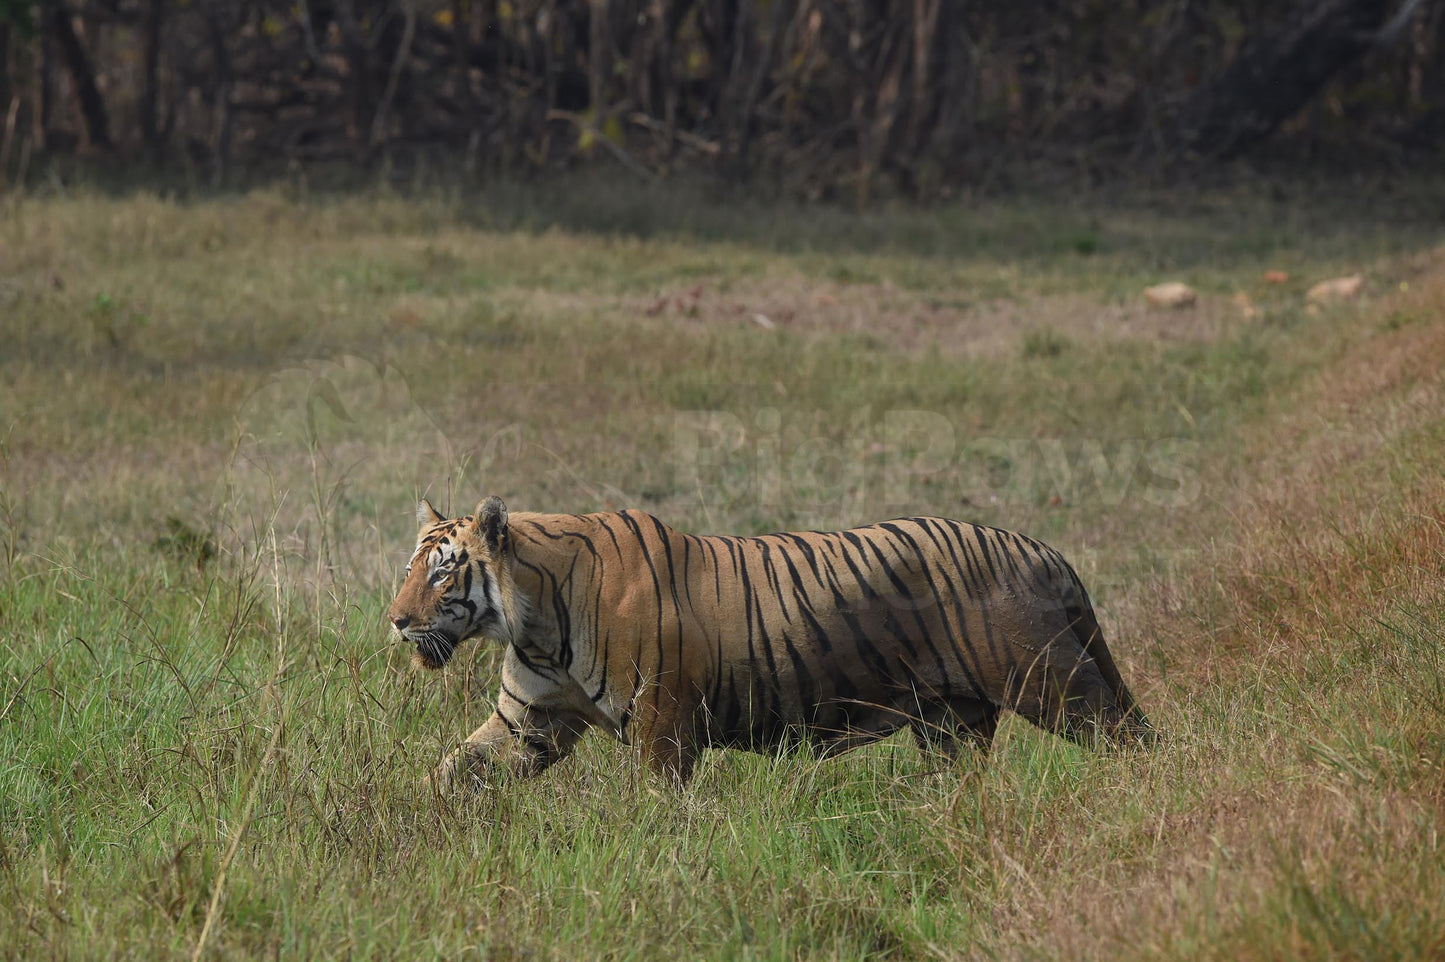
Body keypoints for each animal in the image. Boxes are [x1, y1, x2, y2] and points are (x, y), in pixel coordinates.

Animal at [390, 496, 1156, 785]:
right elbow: (452, 769)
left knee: (1133, 738)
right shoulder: (529, 722)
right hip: (952, 724)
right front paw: (409, 823)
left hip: (1052, 683)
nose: (394, 620)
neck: (535, 623)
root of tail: (1044, 551)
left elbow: (654, 806)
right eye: (408, 570)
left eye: (443, 571)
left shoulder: (662, 728)